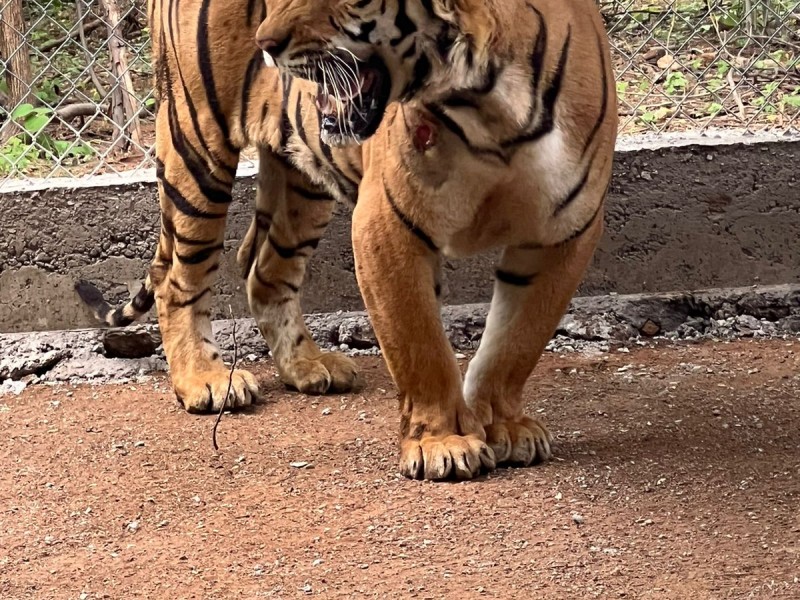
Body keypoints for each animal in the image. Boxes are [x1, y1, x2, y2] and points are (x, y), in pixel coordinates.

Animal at [75, 0, 620, 480]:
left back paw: (306, 365)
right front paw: (441, 442)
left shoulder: (565, 232)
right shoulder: (387, 222)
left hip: (305, 173)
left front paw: (502, 426)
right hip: (198, 142)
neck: (488, 107)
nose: (267, 43)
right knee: (179, 277)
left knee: (265, 270)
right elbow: (420, 343)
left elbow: (515, 343)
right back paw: (203, 380)